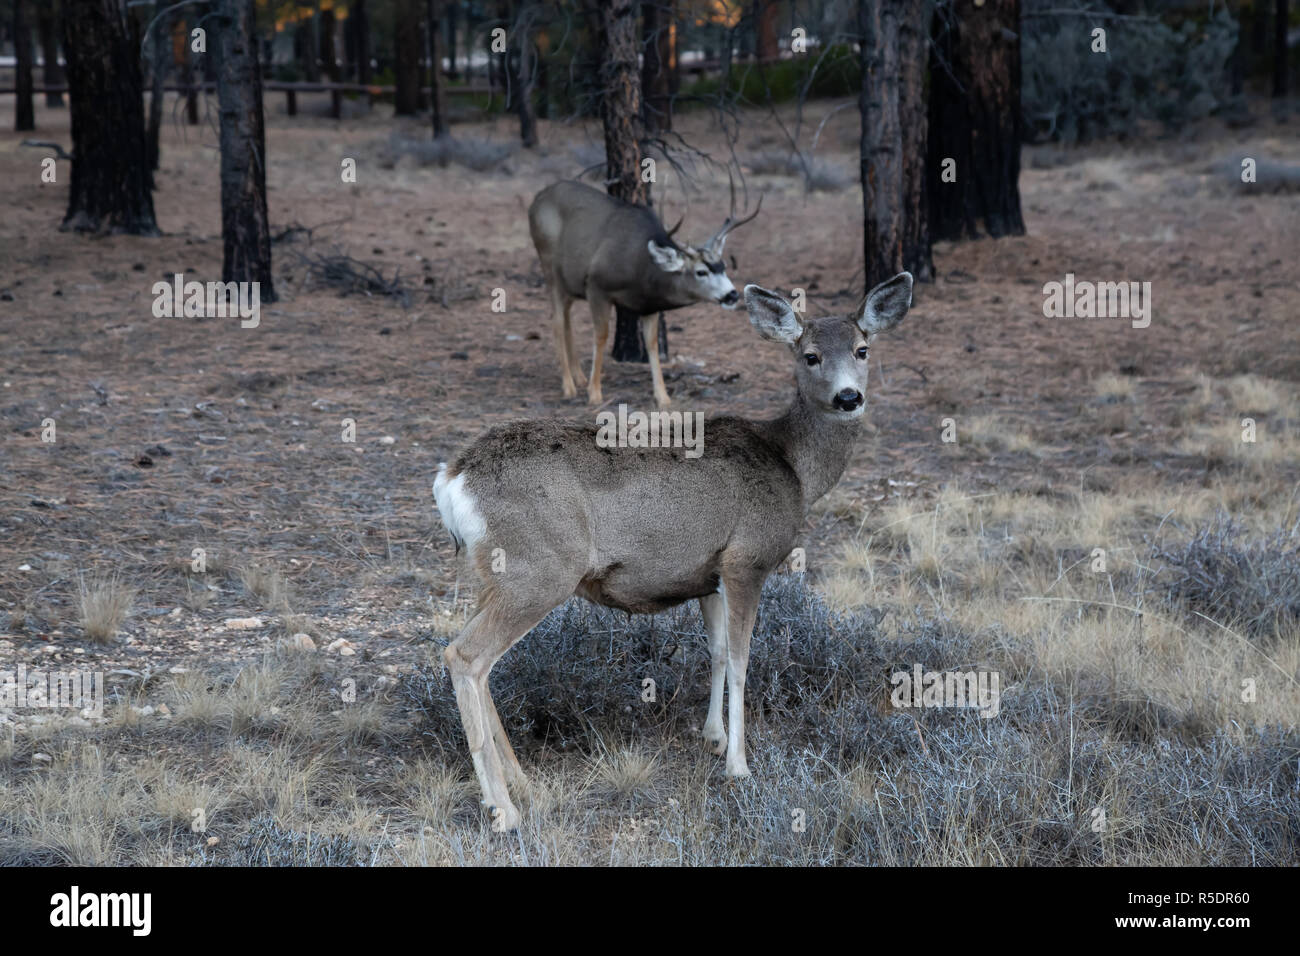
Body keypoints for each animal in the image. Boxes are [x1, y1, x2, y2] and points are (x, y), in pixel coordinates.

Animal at [434, 269, 915, 832]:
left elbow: (717, 651)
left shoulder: (708, 573)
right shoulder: (747, 559)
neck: (793, 467)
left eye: (863, 349)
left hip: (494, 574)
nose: (848, 397)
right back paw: (503, 807)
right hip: (539, 570)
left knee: (474, 658)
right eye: (811, 355)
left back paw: (522, 784)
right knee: (465, 655)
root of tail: (453, 479)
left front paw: (715, 737)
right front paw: (739, 766)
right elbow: (743, 658)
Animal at [525, 179, 759, 408]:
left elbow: (652, 343)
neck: (639, 270)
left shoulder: (649, 306)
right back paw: (569, 387)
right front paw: (595, 393)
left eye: (724, 266)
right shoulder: (596, 286)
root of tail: (536, 200)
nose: (732, 295)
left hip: (569, 282)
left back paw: (579, 378)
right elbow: (601, 336)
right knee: (556, 321)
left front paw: (663, 397)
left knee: (566, 317)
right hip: (548, 264)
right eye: (701, 272)